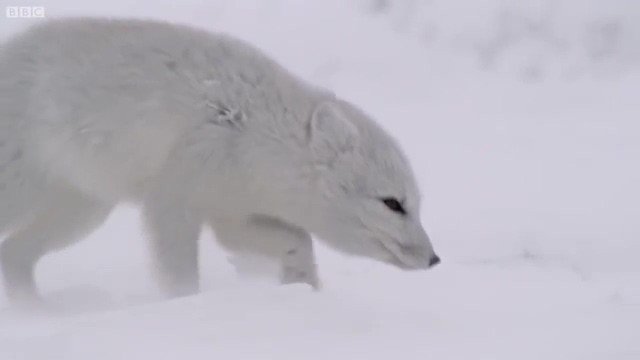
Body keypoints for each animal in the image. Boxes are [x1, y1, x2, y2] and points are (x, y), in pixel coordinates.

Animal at [0, 18, 440, 302]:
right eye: (392, 203)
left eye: (417, 204)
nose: (434, 259)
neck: (256, 133)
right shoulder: (176, 199)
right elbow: (178, 271)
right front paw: (186, 305)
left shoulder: (230, 211)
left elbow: (297, 238)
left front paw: (302, 288)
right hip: (28, 196)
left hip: (81, 213)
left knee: (13, 257)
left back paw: (33, 312)